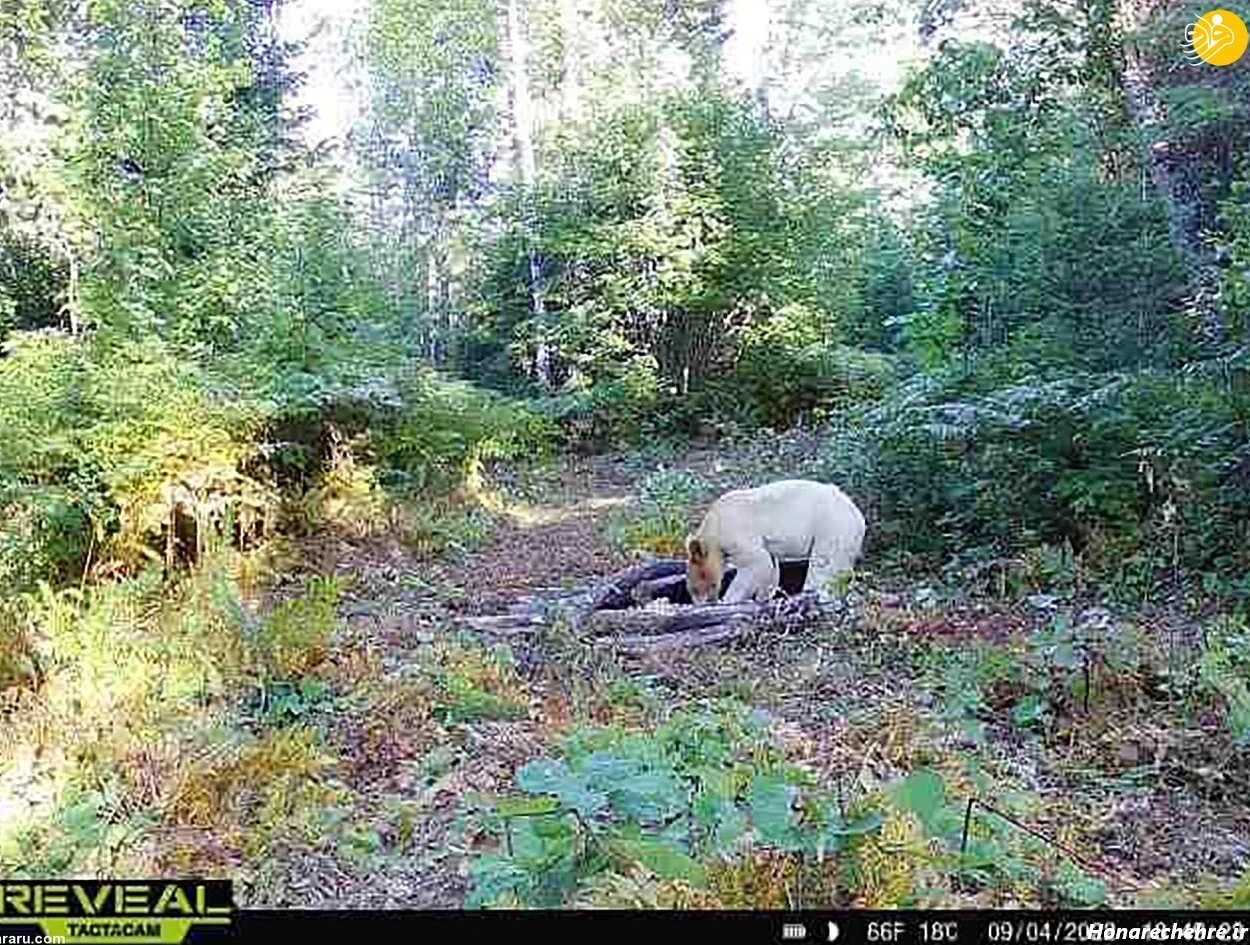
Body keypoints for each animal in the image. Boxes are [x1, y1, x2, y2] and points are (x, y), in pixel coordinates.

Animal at [685, 480, 870, 605]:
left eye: (695, 588)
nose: (700, 602)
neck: (713, 526)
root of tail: (858, 517)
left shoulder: (735, 533)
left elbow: (757, 563)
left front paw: (729, 601)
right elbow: (771, 568)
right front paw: (763, 597)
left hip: (831, 527)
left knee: (821, 566)